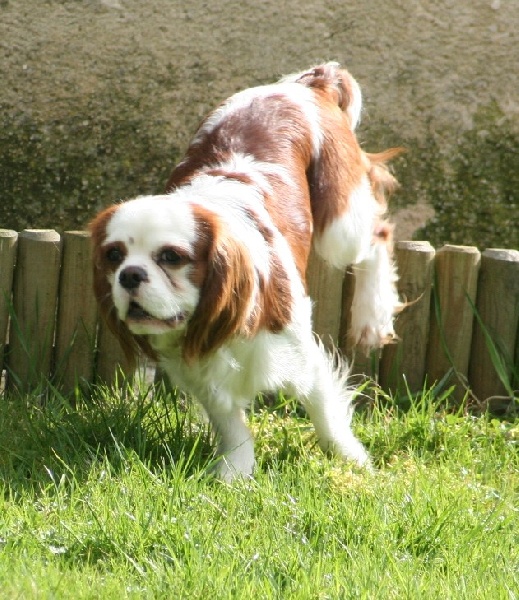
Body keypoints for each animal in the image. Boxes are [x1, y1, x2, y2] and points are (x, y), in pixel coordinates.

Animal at [90, 62, 402, 482]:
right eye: (114, 256)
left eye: (171, 256)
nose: (130, 275)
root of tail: (305, 84)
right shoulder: (199, 371)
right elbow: (230, 423)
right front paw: (234, 472)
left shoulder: (303, 356)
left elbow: (325, 413)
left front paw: (353, 461)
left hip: (340, 224)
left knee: (379, 236)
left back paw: (371, 320)